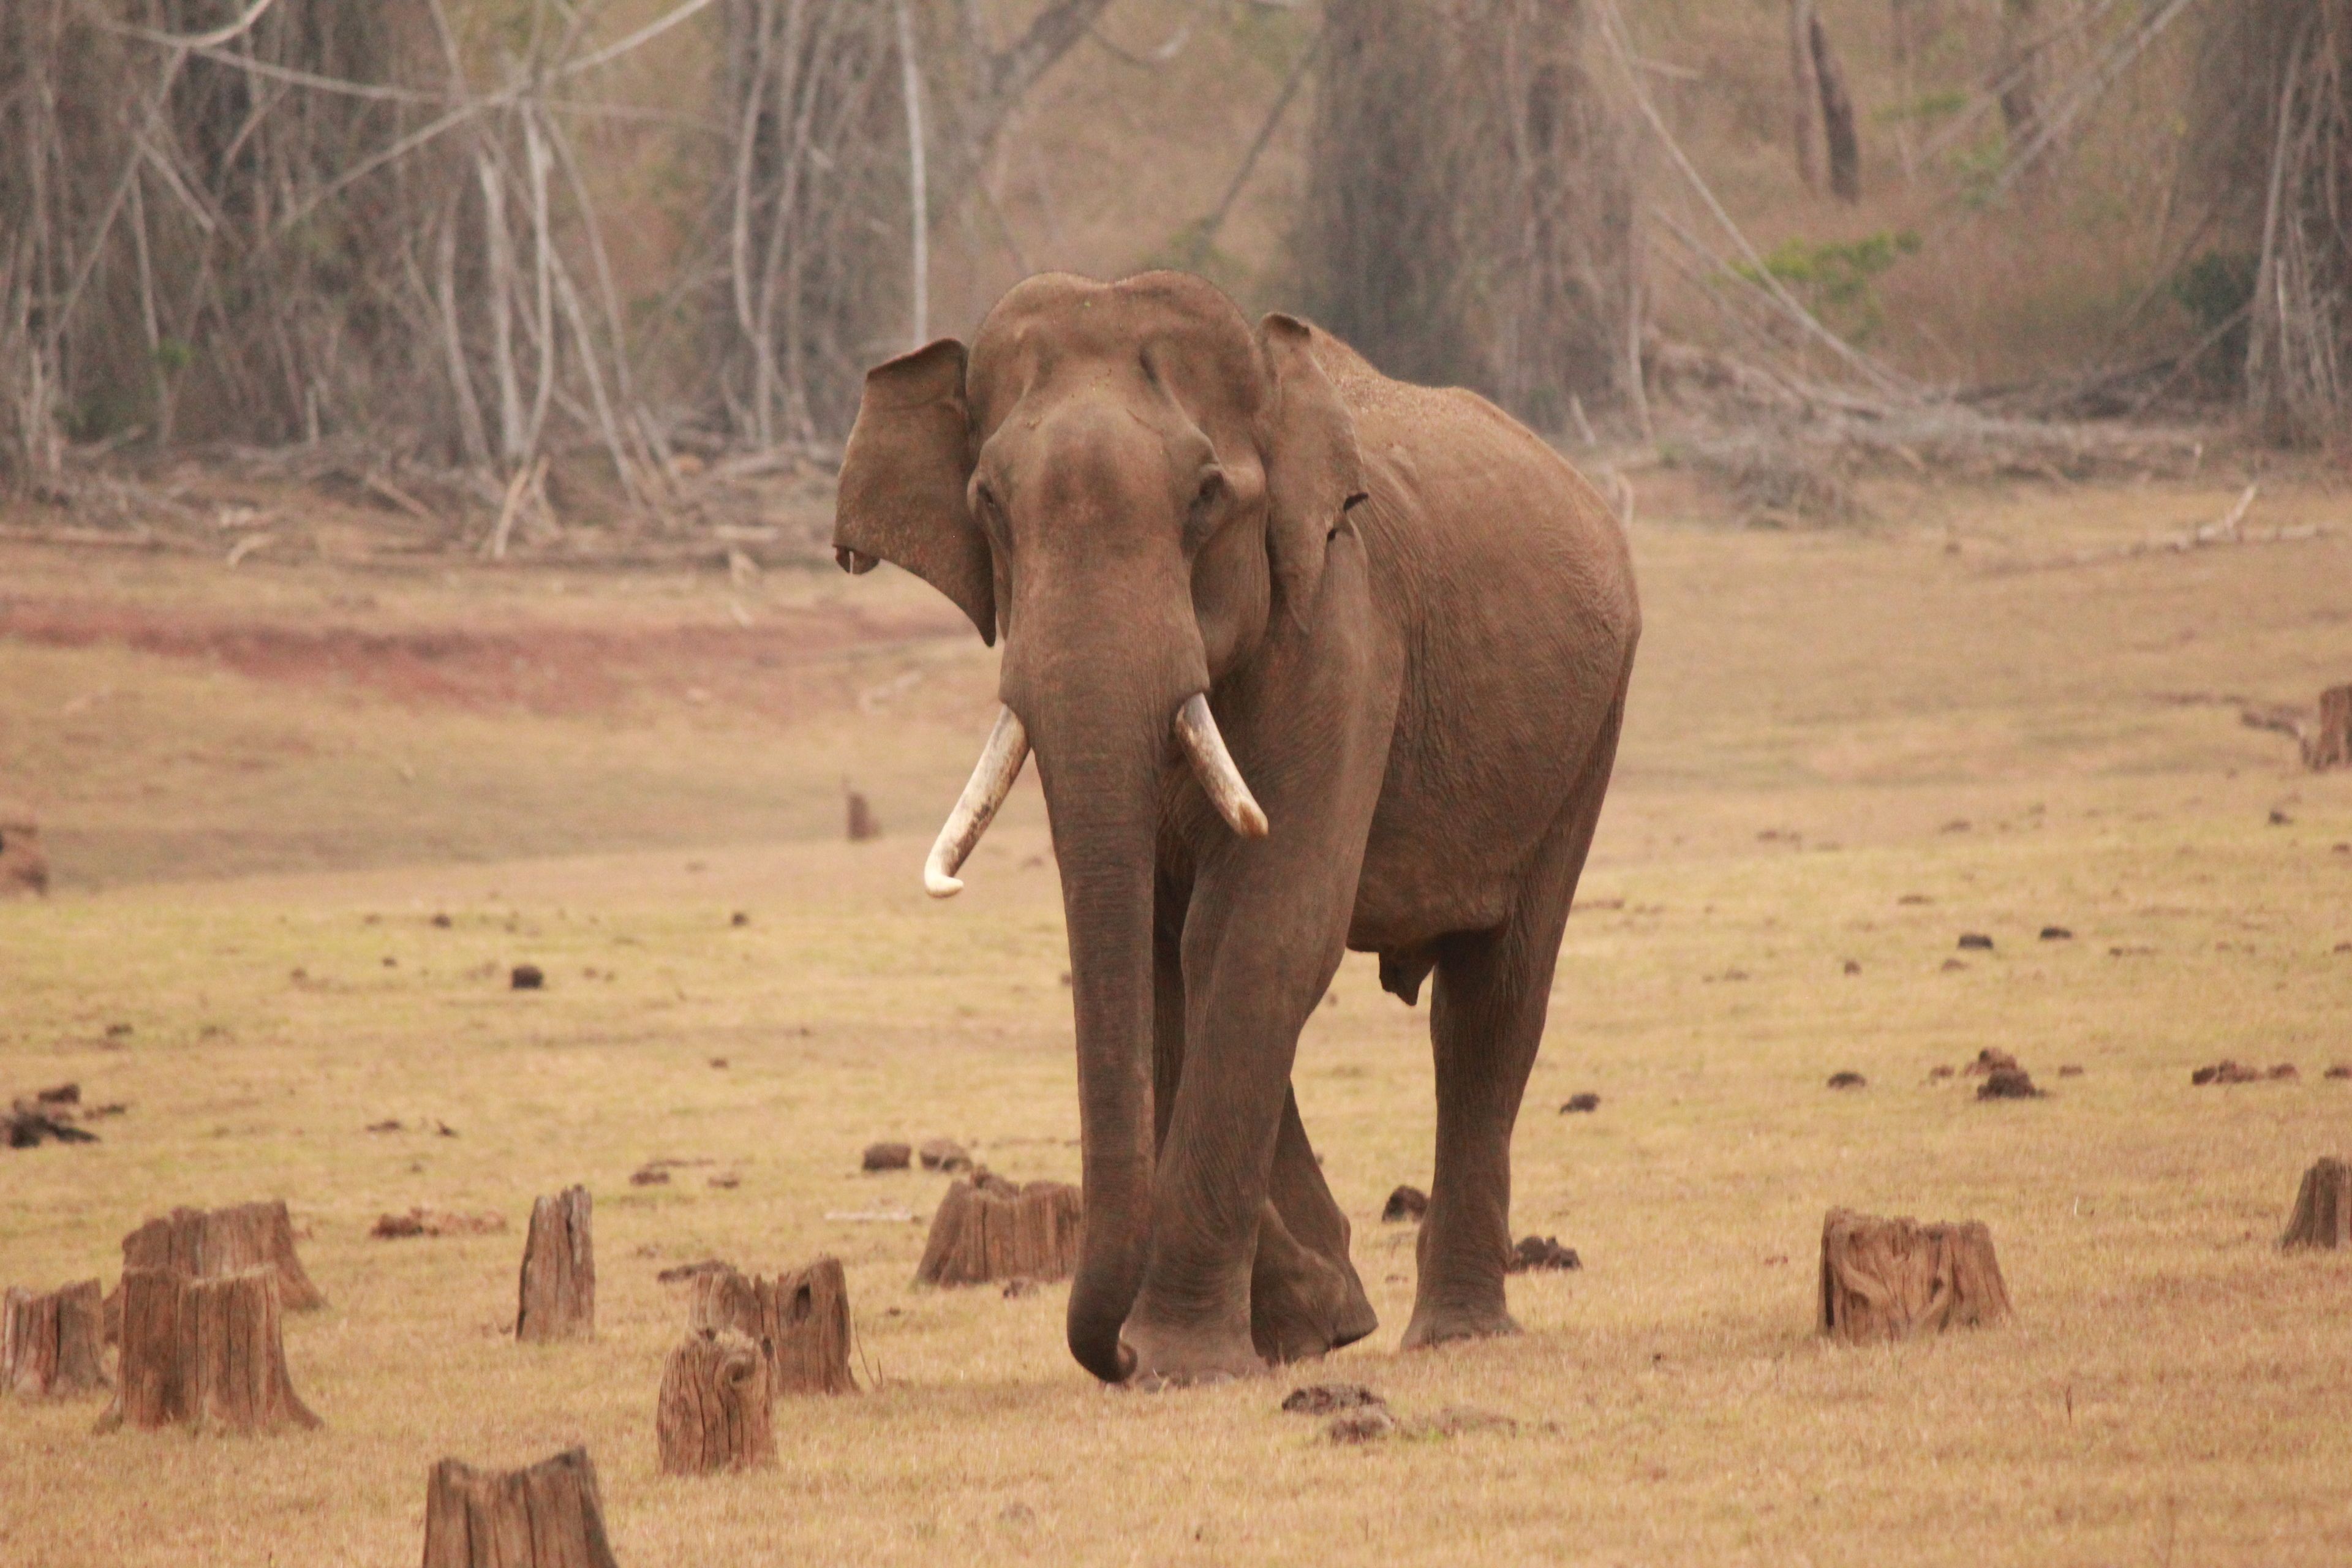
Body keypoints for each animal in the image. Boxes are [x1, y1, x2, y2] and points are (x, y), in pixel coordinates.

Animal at [833, 270, 1639, 1386]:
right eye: (987, 505)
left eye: (1206, 498)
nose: (1112, 1357)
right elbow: (1163, 952)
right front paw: (1307, 1318)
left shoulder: (1343, 631)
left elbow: (1263, 930)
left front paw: (1188, 1360)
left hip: (1589, 728)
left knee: (1494, 997)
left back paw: (1459, 1334)